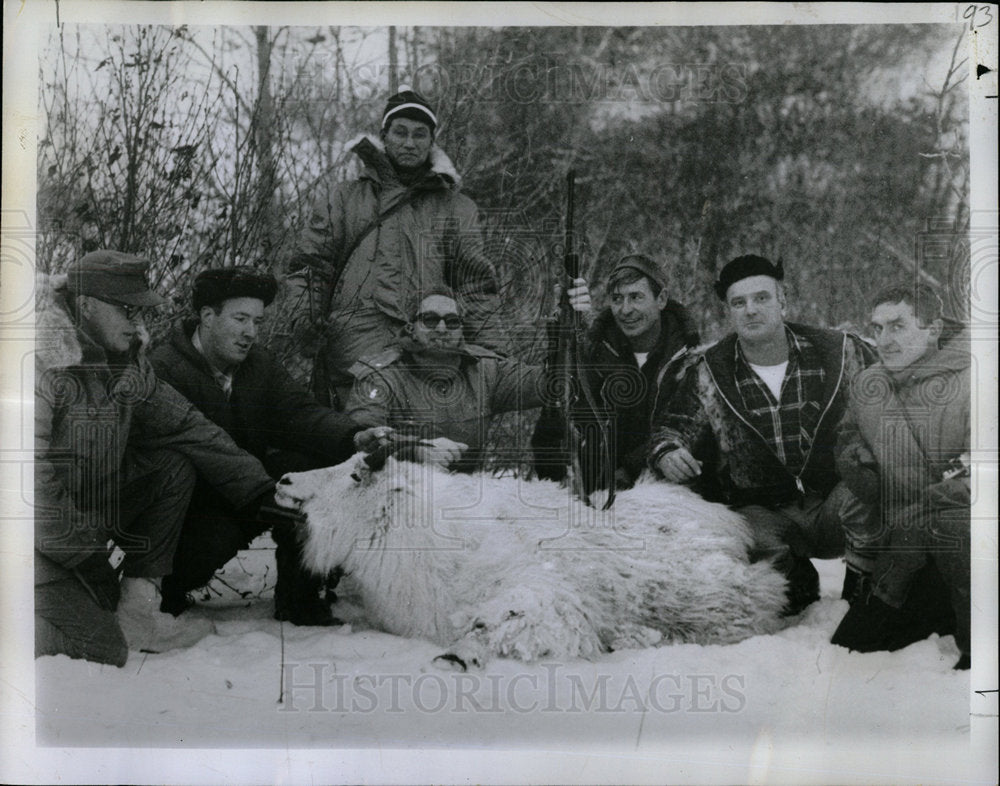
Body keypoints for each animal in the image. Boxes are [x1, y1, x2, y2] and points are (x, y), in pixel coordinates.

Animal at [274, 448, 788, 668]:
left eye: (354, 475)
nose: (283, 480)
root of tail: (730, 524)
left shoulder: (544, 595)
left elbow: (494, 624)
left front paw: (458, 657)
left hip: (716, 597)